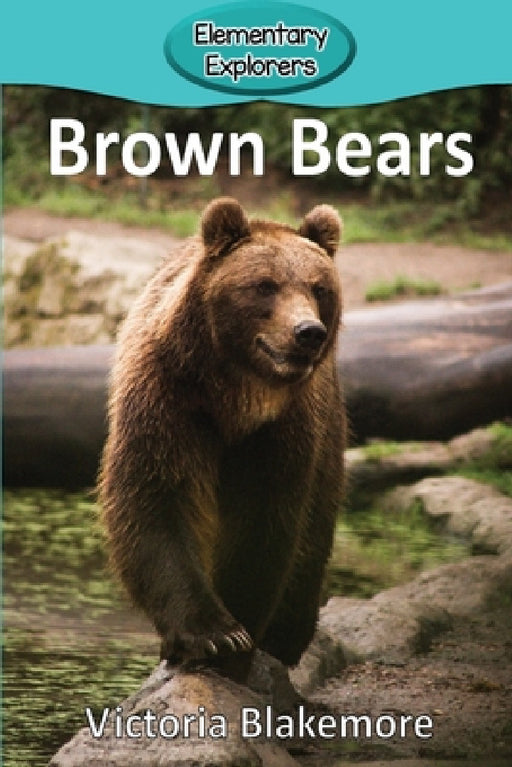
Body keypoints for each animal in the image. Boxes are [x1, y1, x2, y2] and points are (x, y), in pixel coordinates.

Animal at [99, 197, 345, 678]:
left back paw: (287, 637)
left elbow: (264, 523)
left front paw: (240, 637)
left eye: (318, 287)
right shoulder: (166, 402)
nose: (307, 332)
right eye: (265, 285)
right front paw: (215, 635)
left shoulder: (283, 431)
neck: (235, 398)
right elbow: (155, 501)